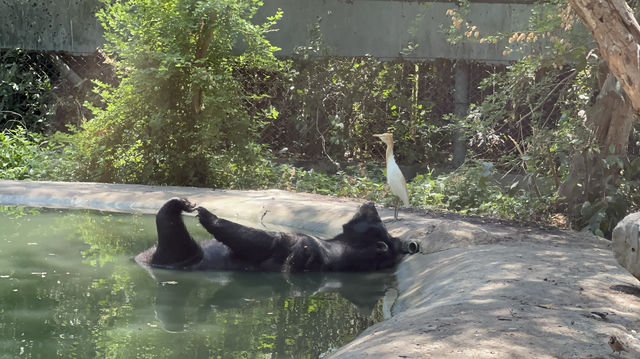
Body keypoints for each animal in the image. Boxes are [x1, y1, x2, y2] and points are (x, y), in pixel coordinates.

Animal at [135, 198, 418, 272]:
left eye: (377, 221)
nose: (369, 203)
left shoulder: (306, 249)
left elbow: (268, 242)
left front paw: (207, 215)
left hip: (180, 254)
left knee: (172, 235)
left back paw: (175, 205)